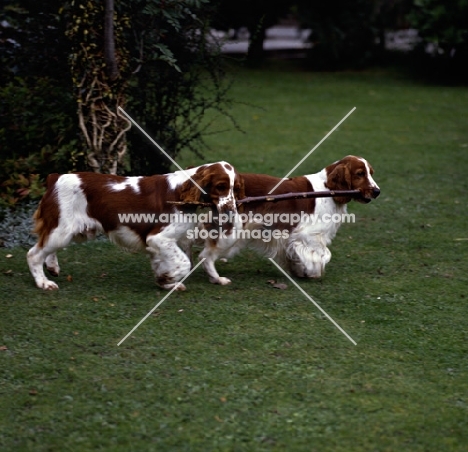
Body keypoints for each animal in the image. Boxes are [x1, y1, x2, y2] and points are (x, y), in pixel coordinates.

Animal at [28, 161, 245, 292]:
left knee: (46, 249)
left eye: (235, 188)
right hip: (62, 230)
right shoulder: (159, 238)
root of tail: (55, 178)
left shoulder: (166, 243)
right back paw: (43, 282)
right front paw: (167, 279)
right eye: (220, 186)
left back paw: (53, 267)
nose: (231, 209)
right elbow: (184, 263)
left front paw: (168, 282)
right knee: (33, 254)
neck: (183, 191)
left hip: (71, 231)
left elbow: (172, 262)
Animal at [200, 155, 380, 282]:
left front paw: (299, 269)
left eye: (371, 173)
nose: (377, 191)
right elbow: (324, 254)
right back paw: (218, 279)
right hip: (232, 232)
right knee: (206, 256)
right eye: (360, 174)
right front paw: (311, 270)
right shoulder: (307, 234)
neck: (328, 189)